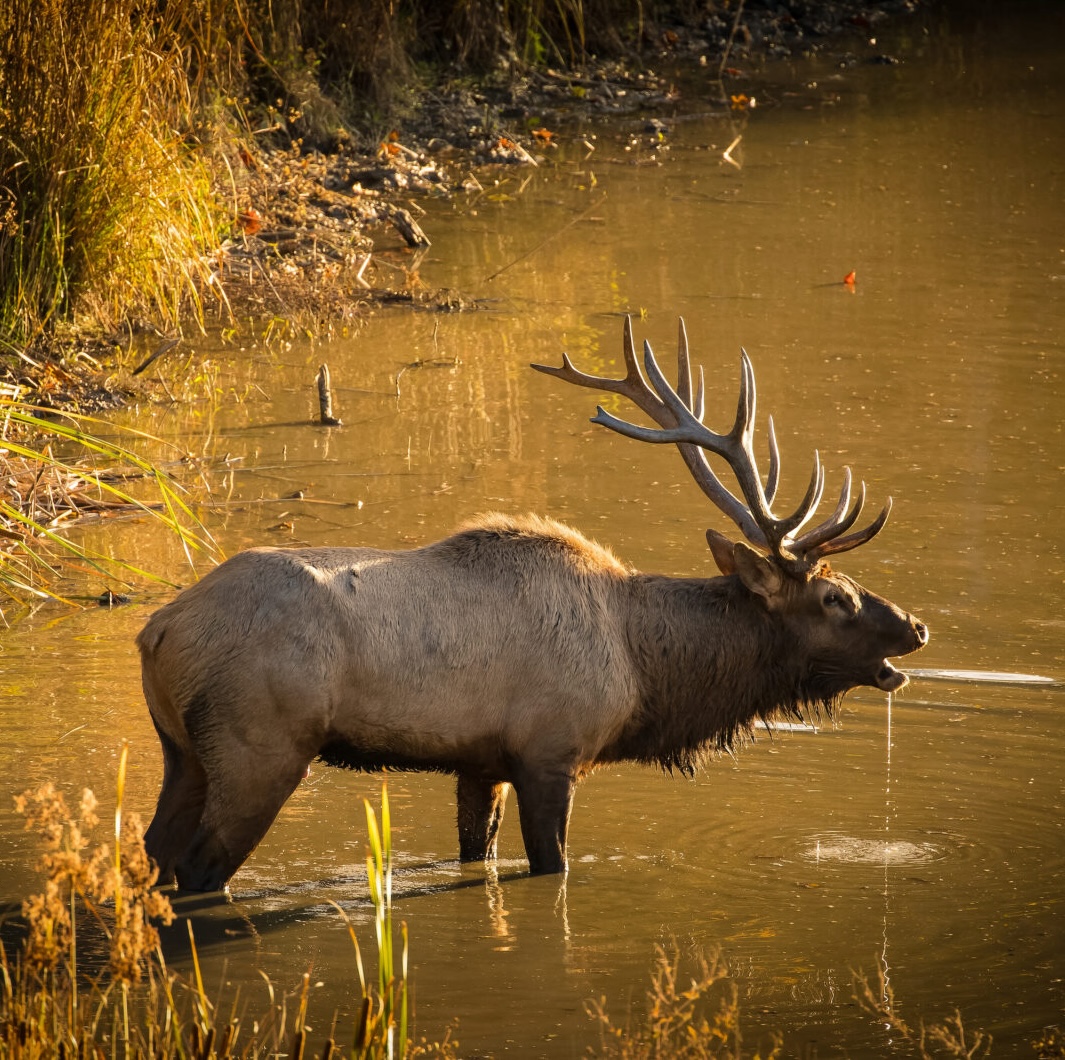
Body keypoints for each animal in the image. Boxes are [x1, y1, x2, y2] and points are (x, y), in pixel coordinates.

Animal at [139, 317, 928, 891]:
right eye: (833, 598)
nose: (915, 626)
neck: (645, 673)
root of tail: (159, 630)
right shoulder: (551, 750)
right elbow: (551, 865)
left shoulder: (480, 762)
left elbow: (475, 854)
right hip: (260, 745)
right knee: (199, 869)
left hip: (182, 751)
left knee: (153, 852)